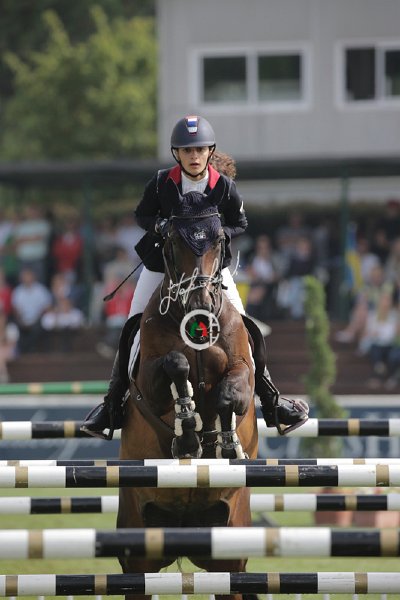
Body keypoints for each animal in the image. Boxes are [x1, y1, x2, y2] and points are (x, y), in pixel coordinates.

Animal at [117, 192, 258, 600]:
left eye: (219, 240)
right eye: (172, 242)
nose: (200, 301)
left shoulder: (242, 371)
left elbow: (229, 393)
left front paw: (226, 443)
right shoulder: (149, 382)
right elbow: (175, 364)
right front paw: (187, 429)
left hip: (231, 552)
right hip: (137, 551)